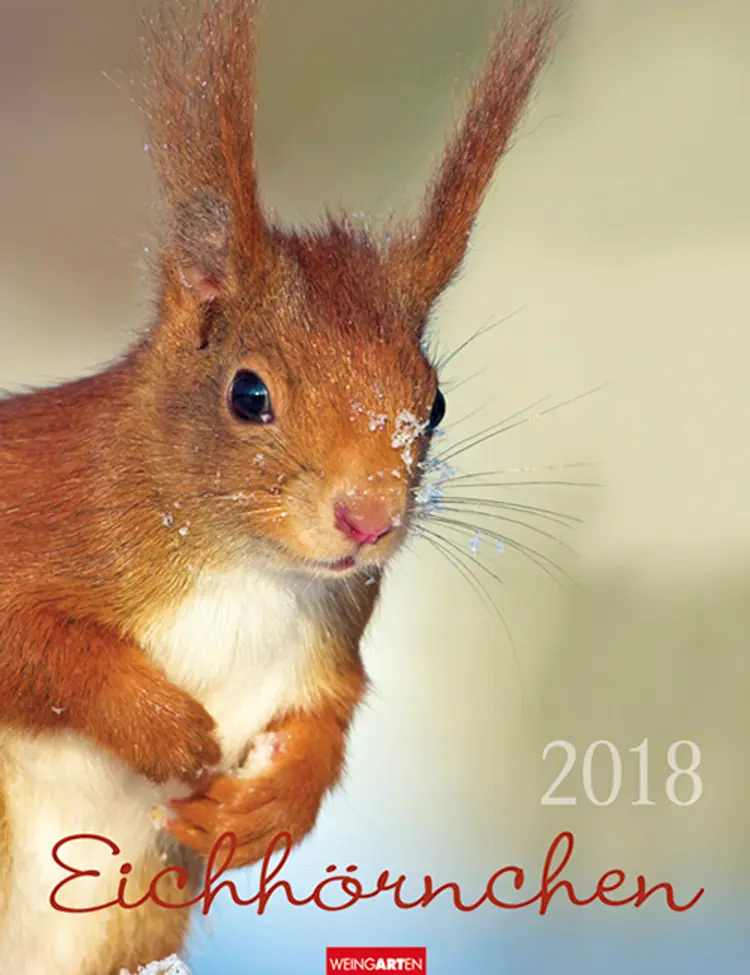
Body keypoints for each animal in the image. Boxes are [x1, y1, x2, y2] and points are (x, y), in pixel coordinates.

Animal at [0, 1, 558, 972]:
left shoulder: (328, 640)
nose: (369, 518)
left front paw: (262, 806)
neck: (241, 566)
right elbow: (33, 641)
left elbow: (325, 727)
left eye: (435, 402)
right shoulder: (39, 509)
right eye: (249, 394)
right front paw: (168, 728)